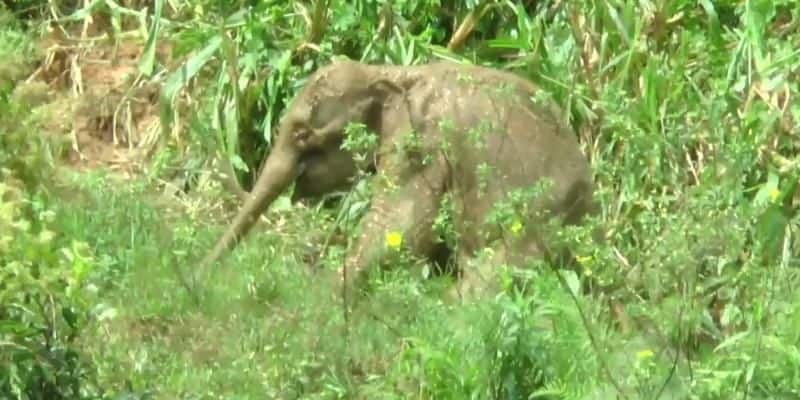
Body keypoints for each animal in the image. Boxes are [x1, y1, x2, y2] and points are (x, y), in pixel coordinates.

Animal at [197, 57, 596, 304]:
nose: (201, 276)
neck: (391, 71)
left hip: (539, 227)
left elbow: (402, 225)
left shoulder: (422, 143)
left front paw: (320, 301)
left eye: (302, 134)